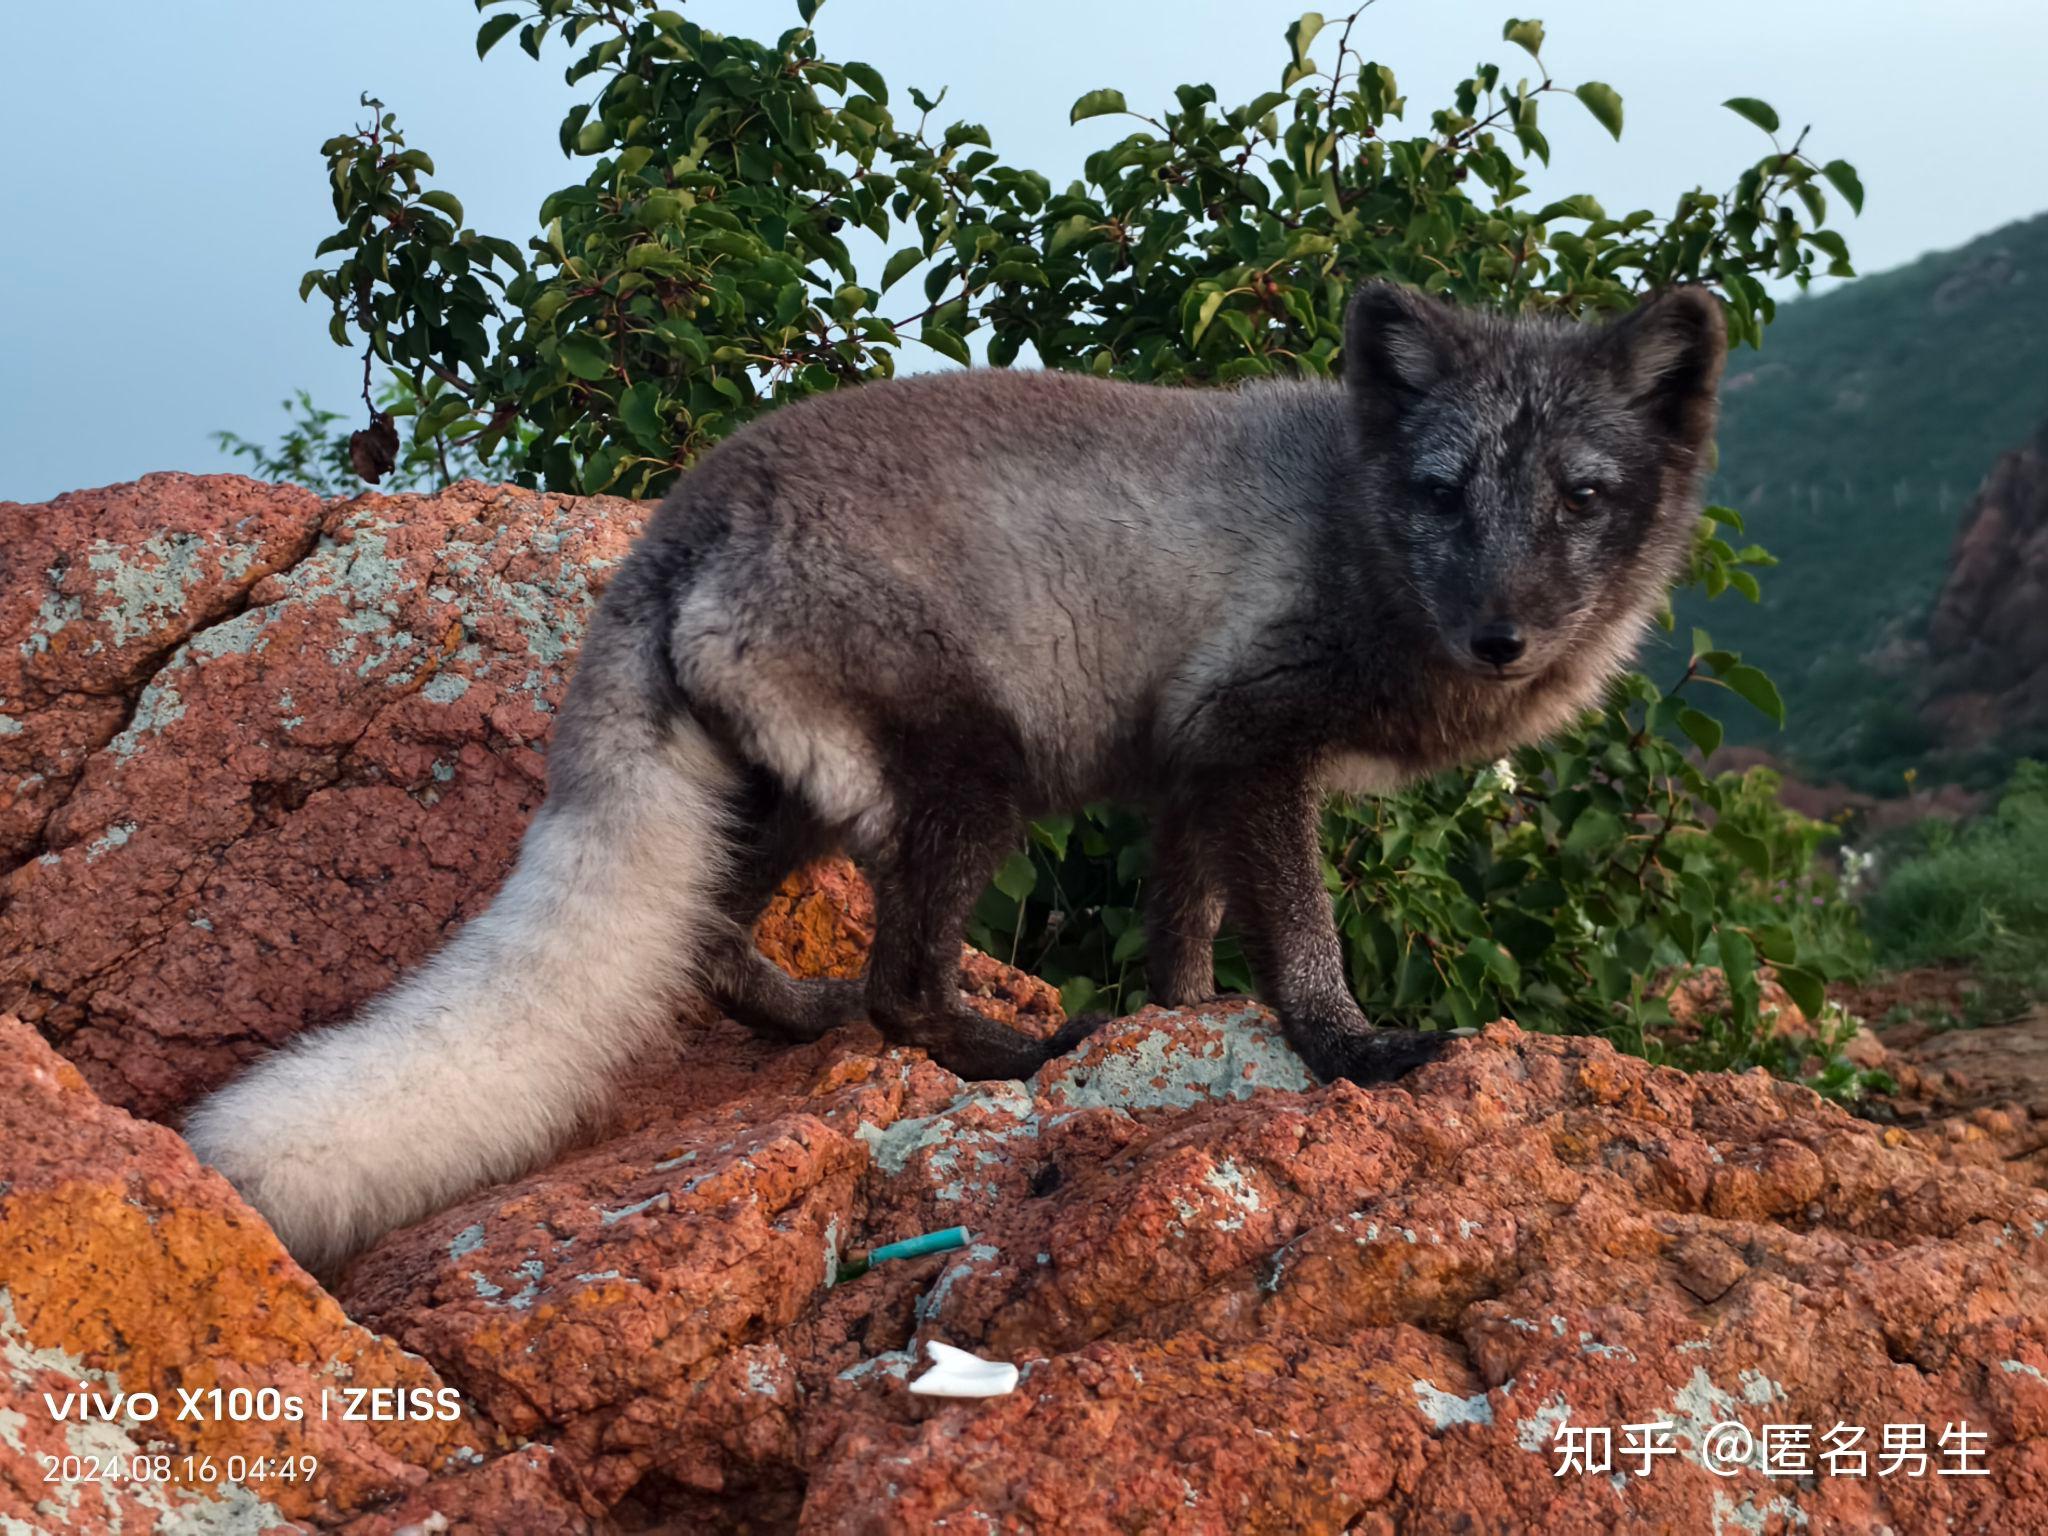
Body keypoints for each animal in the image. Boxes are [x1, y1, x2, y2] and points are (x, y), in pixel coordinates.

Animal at [188, 282, 1728, 1269]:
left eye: (1581, 497)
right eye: (1441, 491)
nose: (1499, 639)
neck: (1354, 520)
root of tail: (684, 516)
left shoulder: (1188, 772)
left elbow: (1184, 937)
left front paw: (1173, 1027)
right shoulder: (1251, 742)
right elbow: (1300, 937)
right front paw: (1348, 1047)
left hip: (785, 798)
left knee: (720, 947)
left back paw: (816, 1017)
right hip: (976, 776)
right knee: (903, 985)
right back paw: (1016, 1054)